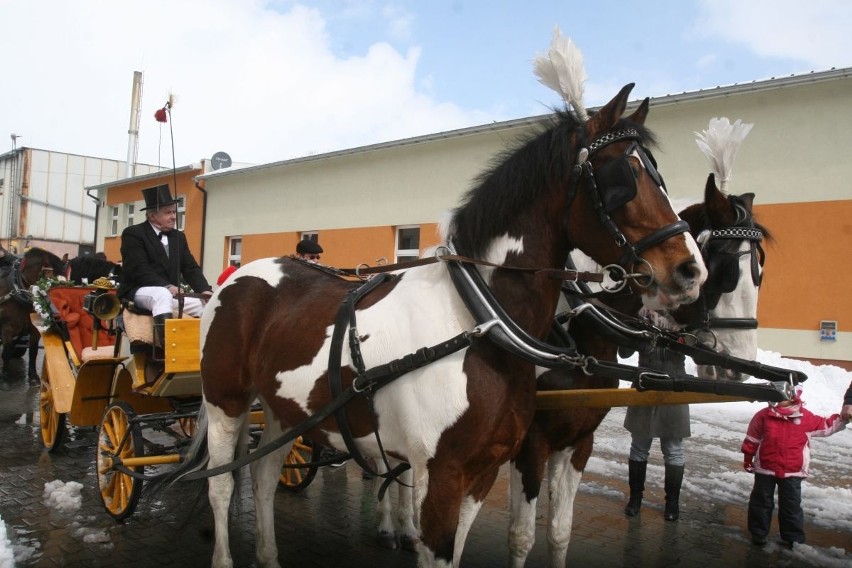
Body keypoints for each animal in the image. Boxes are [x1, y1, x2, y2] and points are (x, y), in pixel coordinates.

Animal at [0, 246, 67, 380]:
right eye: (50, 281)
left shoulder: (34, 328)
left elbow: (33, 350)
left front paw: (33, 375)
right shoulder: (7, 327)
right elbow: (6, 351)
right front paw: (5, 376)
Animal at [166, 84, 704, 568]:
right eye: (623, 176)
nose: (689, 271)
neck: (478, 321)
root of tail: (238, 277)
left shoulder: (482, 472)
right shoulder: (442, 472)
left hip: (286, 410)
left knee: (262, 476)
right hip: (225, 401)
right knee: (221, 484)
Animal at [502, 175, 768, 564]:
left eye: (760, 273)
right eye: (725, 271)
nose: (739, 367)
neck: (577, 327)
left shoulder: (578, 439)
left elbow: (559, 531)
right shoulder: (531, 443)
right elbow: (521, 536)